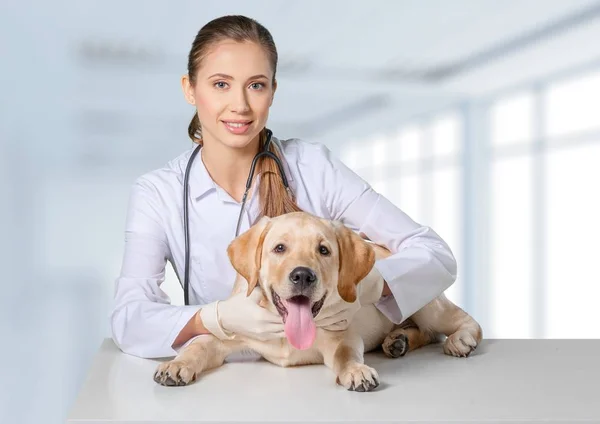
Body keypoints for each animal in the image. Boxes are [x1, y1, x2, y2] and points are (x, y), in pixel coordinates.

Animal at [155, 211, 482, 390]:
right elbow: (198, 345)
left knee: (460, 323)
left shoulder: (342, 337)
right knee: (427, 333)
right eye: (279, 248)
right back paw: (397, 340)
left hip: (427, 303)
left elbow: (346, 355)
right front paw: (176, 365)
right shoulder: (227, 334)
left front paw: (356, 371)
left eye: (324, 250)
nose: (303, 276)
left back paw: (460, 340)